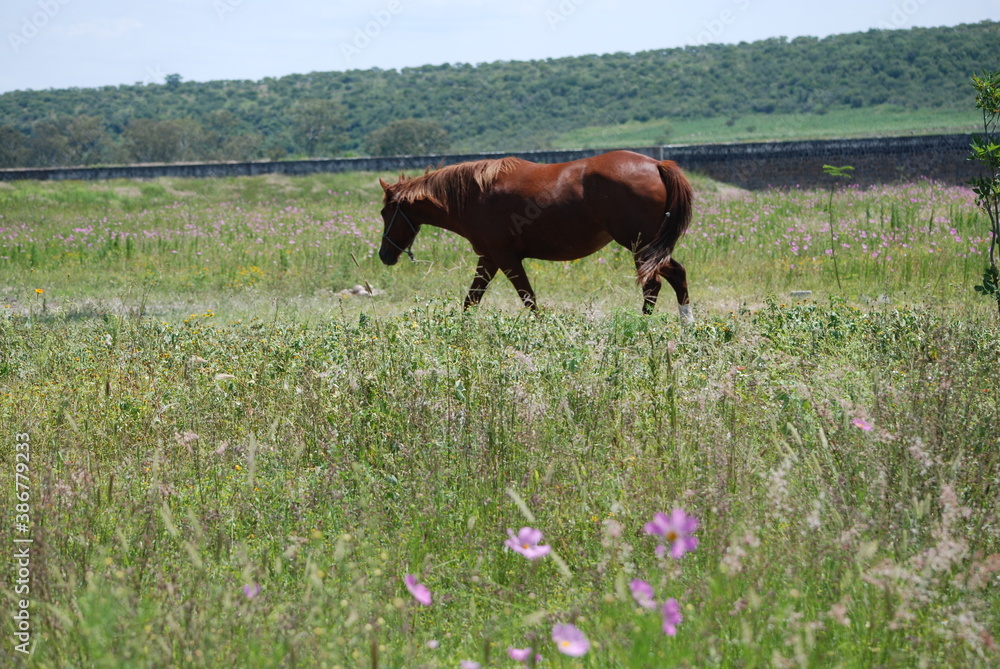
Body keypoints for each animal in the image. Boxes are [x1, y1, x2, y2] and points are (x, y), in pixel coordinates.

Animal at [376, 150, 696, 320]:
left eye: (383, 213)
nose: (384, 254)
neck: (475, 194)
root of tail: (657, 164)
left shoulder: (506, 258)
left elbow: (528, 299)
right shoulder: (488, 259)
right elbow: (471, 301)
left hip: (641, 246)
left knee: (654, 284)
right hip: (651, 248)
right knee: (676, 275)